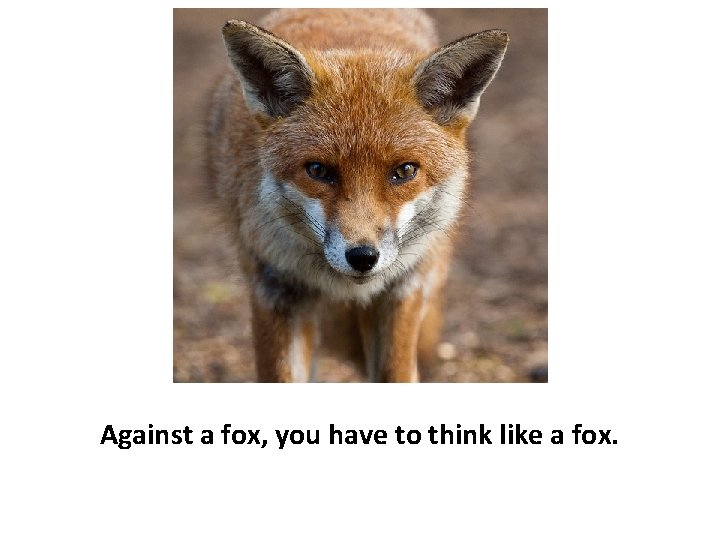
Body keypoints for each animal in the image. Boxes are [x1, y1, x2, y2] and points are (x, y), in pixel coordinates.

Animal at [206, 9, 508, 382]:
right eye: (318, 170)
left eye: (404, 171)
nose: (363, 257)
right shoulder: (274, 286)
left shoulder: (402, 288)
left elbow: (396, 373)